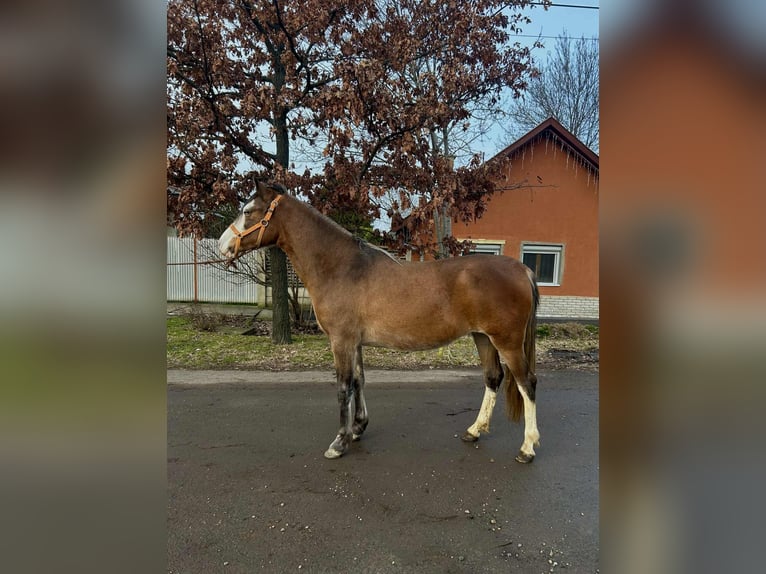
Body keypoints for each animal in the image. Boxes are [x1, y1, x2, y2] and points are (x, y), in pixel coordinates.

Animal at [218, 180, 541, 462]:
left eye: (249, 211)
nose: (223, 245)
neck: (343, 267)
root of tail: (522, 269)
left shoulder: (341, 341)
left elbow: (343, 388)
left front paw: (339, 442)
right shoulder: (355, 342)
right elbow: (359, 381)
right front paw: (358, 428)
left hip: (508, 342)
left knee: (527, 383)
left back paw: (527, 448)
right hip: (483, 337)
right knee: (493, 378)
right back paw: (474, 431)